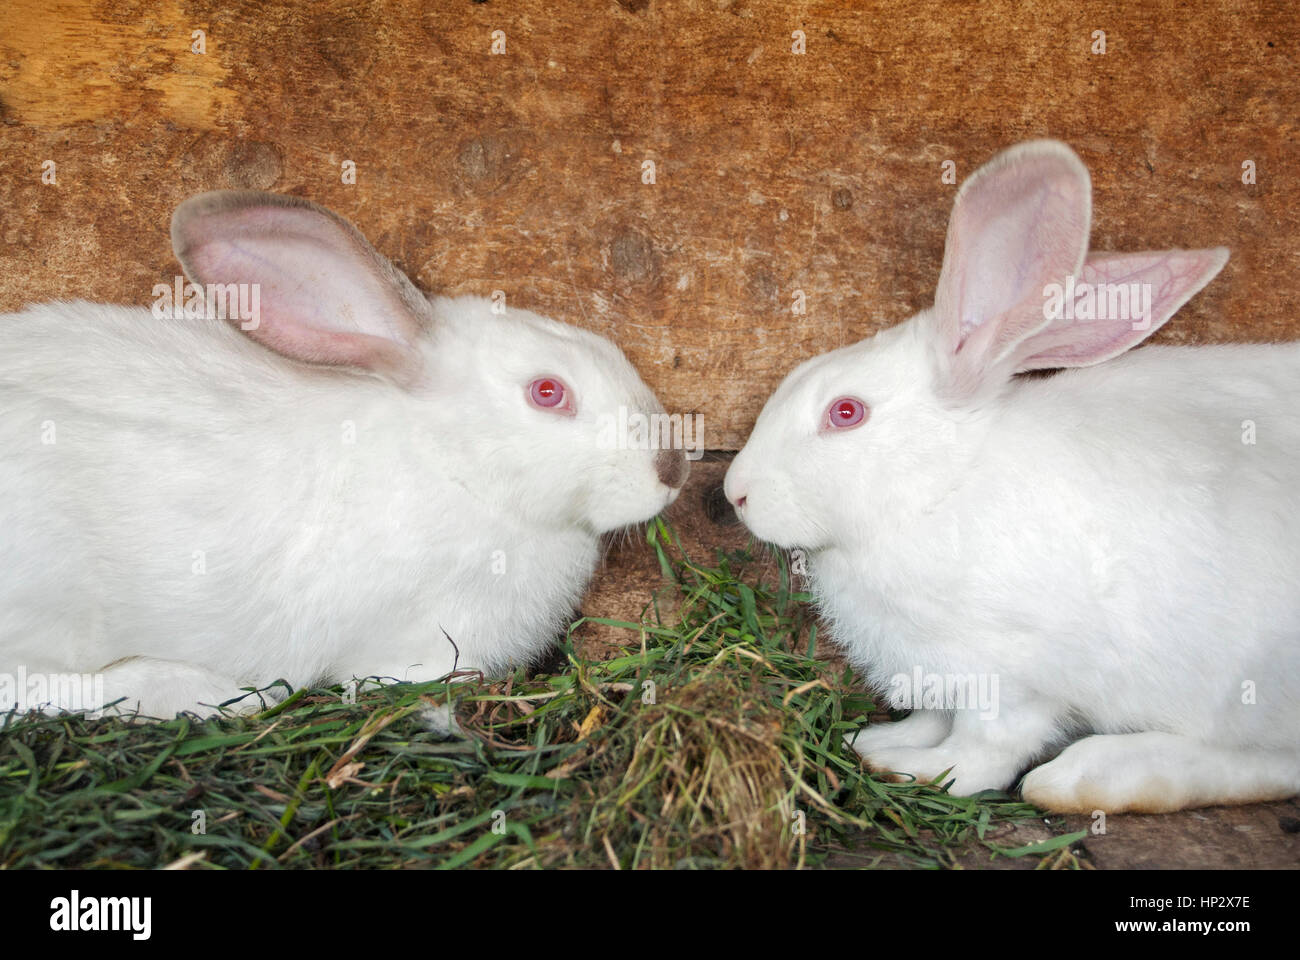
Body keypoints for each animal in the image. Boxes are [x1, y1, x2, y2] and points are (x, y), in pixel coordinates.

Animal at [724, 140, 1300, 813]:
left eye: (846, 413)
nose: (735, 492)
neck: (942, 489)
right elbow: (931, 718)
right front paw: (880, 744)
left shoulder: (1013, 679)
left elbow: (982, 752)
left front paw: (918, 772)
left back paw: (1085, 779)